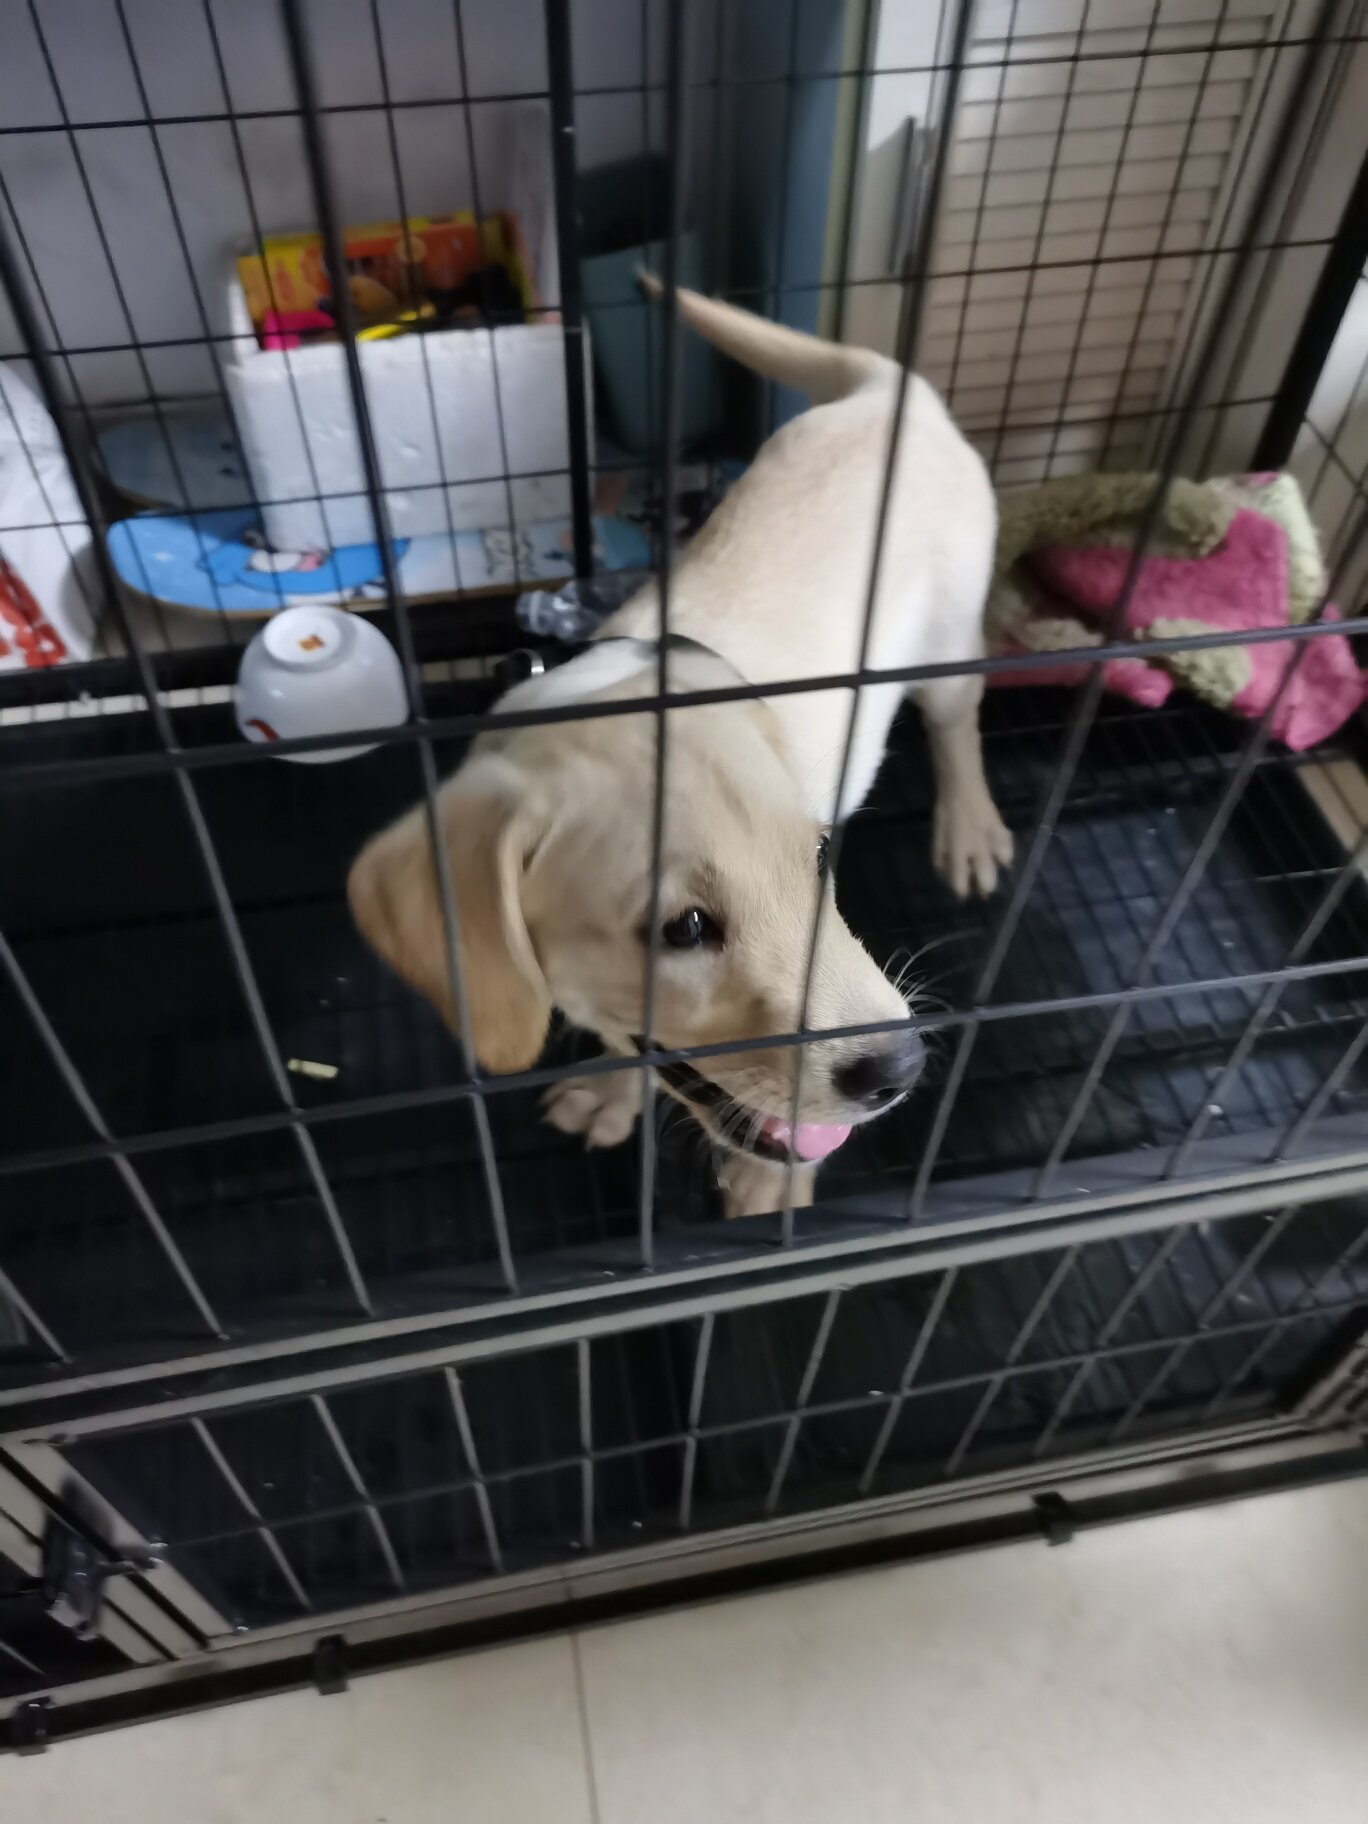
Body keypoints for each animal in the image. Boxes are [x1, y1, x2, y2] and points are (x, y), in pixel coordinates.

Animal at [348, 284, 1011, 1219]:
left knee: (958, 725)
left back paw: (969, 825)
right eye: (685, 928)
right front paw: (612, 1088)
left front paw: (779, 1180)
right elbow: (637, 1039)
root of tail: (891, 394)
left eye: (819, 859)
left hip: (948, 646)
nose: (899, 1067)